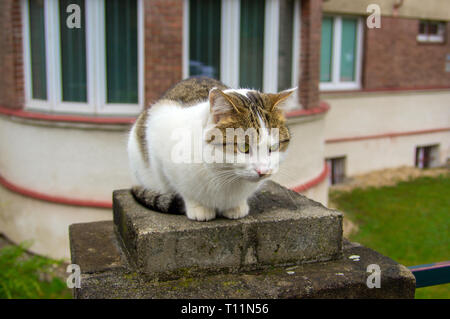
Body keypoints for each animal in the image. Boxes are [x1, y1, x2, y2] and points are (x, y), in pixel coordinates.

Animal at [127, 77, 296, 222]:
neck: (223, 173)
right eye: (244, 147)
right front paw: (198, 207)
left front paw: (236, 206)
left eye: (273, 147)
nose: (263, 171)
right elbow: (183, 188)